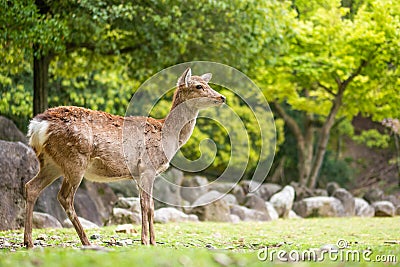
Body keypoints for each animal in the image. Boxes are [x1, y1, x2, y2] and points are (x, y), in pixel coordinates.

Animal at [24, 68, 225, 249]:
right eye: (199, 86)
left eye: (207, 84)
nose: (222, 97)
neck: (166, 136)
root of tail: (38, 125)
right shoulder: (148, 167)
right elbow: (149, 206)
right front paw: (149, 241)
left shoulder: (137, 173)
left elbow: (145, 204)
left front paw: (147, 240)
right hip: (74, 160)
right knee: (64, 197)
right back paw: (86, 241)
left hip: (51, 163)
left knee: (31, 187)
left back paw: (29, 242)